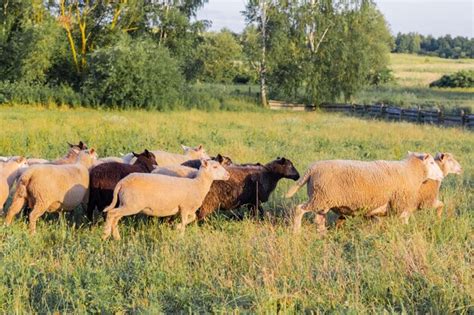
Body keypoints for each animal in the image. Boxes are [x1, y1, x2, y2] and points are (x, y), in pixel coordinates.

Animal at [102, 160, 230, 239]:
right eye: (215, 167)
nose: (228, 175)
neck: (197, 185)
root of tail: (122, 182)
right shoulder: (184, 207)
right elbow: (185, 220)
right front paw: (181, 235)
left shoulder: (188, 209)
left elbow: (192, 218)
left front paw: (177, 227)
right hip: (131, 205)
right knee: (111, 213)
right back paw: (105, 234)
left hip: (126, 203)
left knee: (115, 218)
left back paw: (116, 237)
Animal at [286, 154, 446, 235]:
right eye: (432, 163)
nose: (441, 176)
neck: (410, 171)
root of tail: (312, 168)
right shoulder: (400, 205)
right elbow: (403, 221)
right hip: (318, 198)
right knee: (299, 209)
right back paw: (296, 231)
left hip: (322, 200)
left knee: (319, 220)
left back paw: (323, 234)